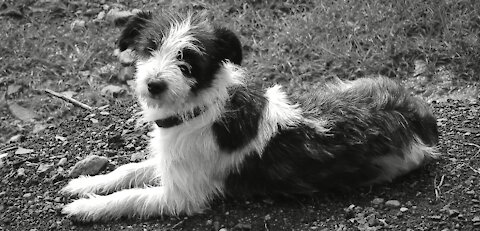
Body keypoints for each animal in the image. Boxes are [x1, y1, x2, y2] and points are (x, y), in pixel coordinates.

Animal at [60, 11, 438, 222]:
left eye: (188, 60)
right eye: (149, 48)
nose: (153, 85)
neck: (199, 109)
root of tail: (418, 116)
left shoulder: (181, 195)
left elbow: (131, 197)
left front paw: (86, 208)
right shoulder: (173, 161)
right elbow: (129, 170)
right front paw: (86, 184)